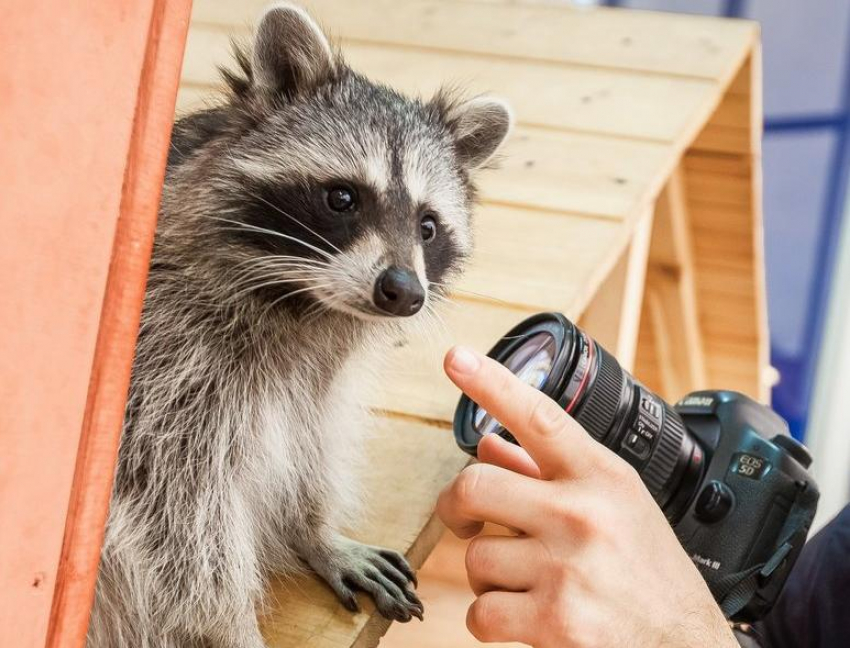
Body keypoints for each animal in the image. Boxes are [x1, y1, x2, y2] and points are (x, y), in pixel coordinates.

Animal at [88, 5, 510, 648]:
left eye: (428, 226)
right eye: (342, 198)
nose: (404, 292)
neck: (305, 303)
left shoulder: (315, 369)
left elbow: (311, 432)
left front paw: (312, 528)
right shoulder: (163, 364)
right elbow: (173, 515)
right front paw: (226, 623)